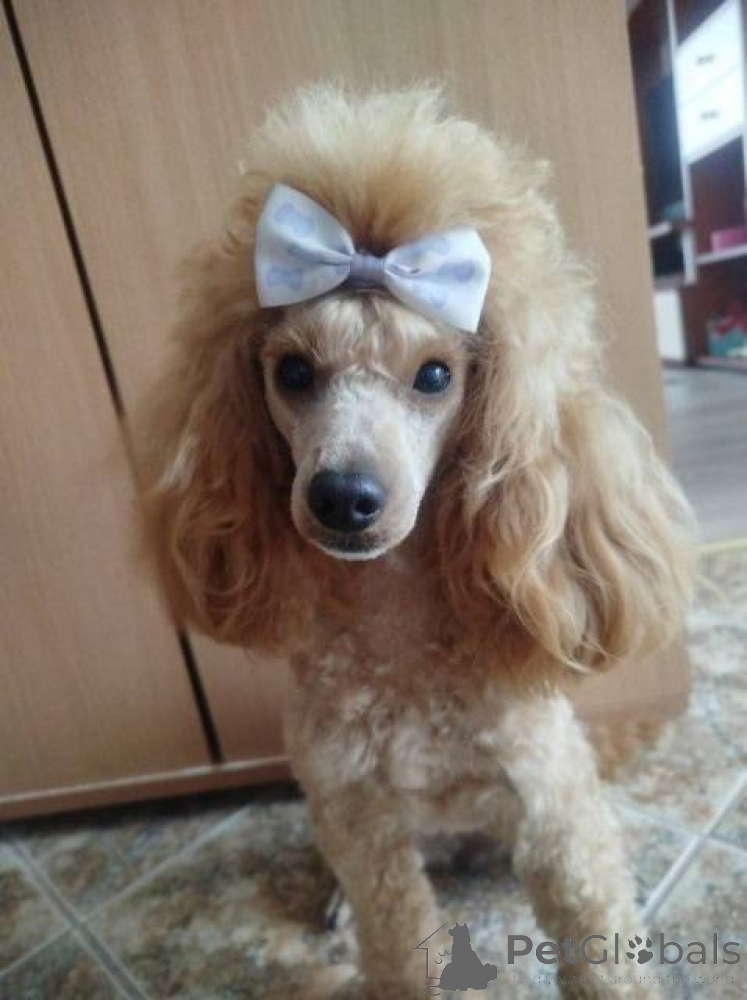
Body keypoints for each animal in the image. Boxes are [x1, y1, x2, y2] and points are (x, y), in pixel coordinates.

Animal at [141, 85, 696, 998]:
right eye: (292, 372)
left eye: (435, 375)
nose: (343, 496)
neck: (397, 628)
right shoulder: (361, 821)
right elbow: (397, 945)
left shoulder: (555, 816)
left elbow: (598, 946)